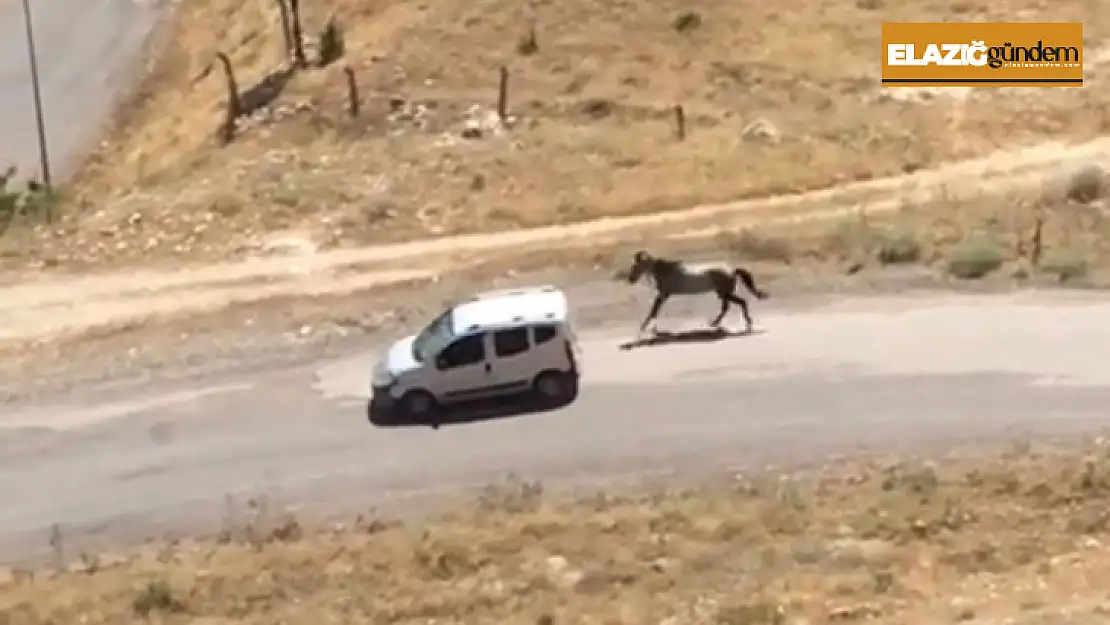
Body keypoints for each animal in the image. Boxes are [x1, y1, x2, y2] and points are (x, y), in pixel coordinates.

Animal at [630, 250, 768, 337]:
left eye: (637, 266)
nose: (631, 279)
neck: (666, 272)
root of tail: (731, 270)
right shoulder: (664, 295)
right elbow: (655, 311)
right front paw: (652, 329)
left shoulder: (663, 295)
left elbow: (653, 311)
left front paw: (645, 327)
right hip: (723, 294)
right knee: (727, 307)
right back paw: (715, 323)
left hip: (724, 293)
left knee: (740, 303)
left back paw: (746, 323)